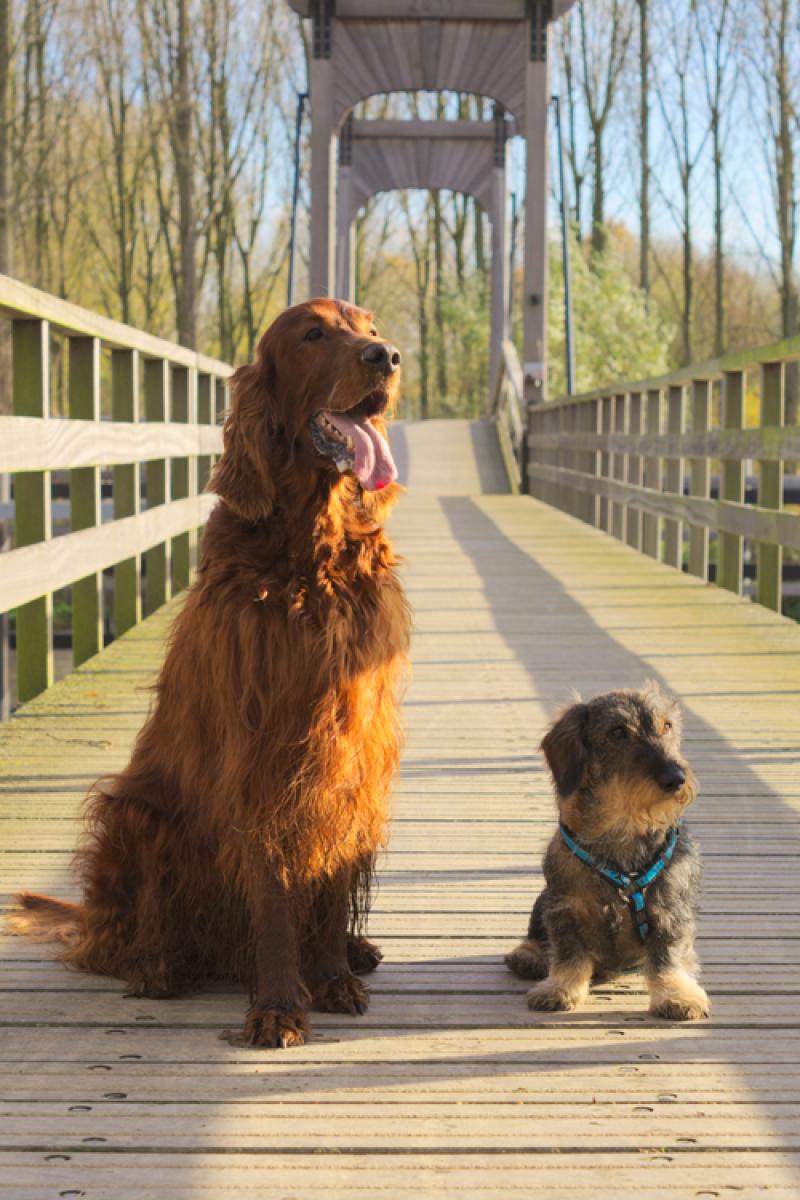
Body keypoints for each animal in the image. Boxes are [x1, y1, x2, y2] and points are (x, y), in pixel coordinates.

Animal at [10, 302, 412, 1051]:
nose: (387, 357)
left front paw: (333, 978)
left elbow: (330, 877)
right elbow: (276, 895)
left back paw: (354, 950)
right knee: (125, 937)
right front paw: (279, 1005)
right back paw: (157, 966)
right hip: (136, 815)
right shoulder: (261, 755)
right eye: (313, 334)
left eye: (370, 327)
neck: (310, 558)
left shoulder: (350, 752)